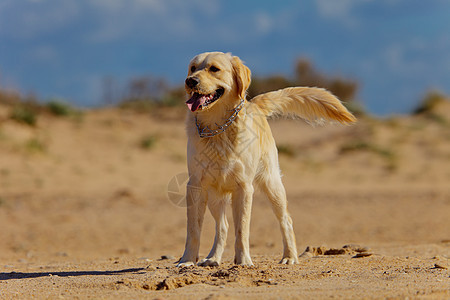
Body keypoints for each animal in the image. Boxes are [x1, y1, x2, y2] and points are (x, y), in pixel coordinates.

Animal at [178, 51, 356, 268]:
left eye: (214, 69)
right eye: (193, 68)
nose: (190, 81)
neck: (217, 128)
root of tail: (253, 103)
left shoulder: (244, 187)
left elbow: (242, 230)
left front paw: (243, 260)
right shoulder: (196, 185)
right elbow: (193, 230)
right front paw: (187, 260)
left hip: (272, 185)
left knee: (286, 220)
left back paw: (289, 256)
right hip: (215, 195)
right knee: (223, 226)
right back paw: (213, 258)